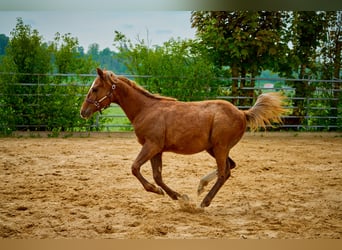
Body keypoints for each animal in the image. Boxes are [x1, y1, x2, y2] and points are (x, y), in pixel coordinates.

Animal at [80, 68, 286, 207]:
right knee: (230, 167)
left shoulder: (151, 146)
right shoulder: (157, 150)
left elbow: (135, 168)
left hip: (220, 147)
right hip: (214, 148)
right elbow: (157, 176)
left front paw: (160, 192)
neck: (145, 109)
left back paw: (204, 202)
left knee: (224, 173)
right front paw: (178, 196)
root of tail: (243, 113)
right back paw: (201, 186)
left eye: (95, 88)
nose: (83, 111)